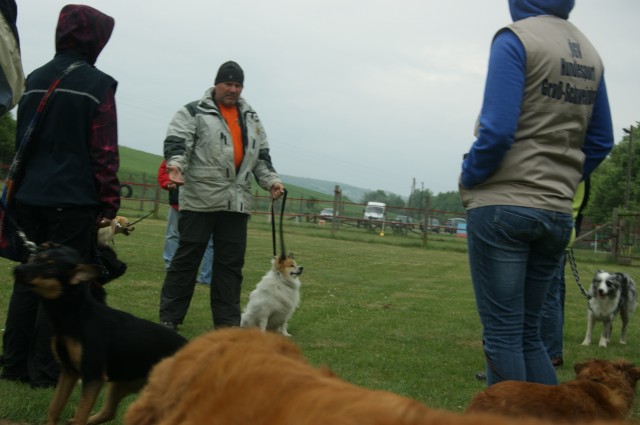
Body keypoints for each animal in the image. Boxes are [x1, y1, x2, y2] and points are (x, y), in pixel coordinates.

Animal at [15, 242, 186, 424]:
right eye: (36, 258)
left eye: (50, 269)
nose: (17, 269)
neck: (77, 315)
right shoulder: (69, 372)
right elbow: (55, 407)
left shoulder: (92, 376)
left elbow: (80, 415)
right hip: (123, 384)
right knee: (109, 412)